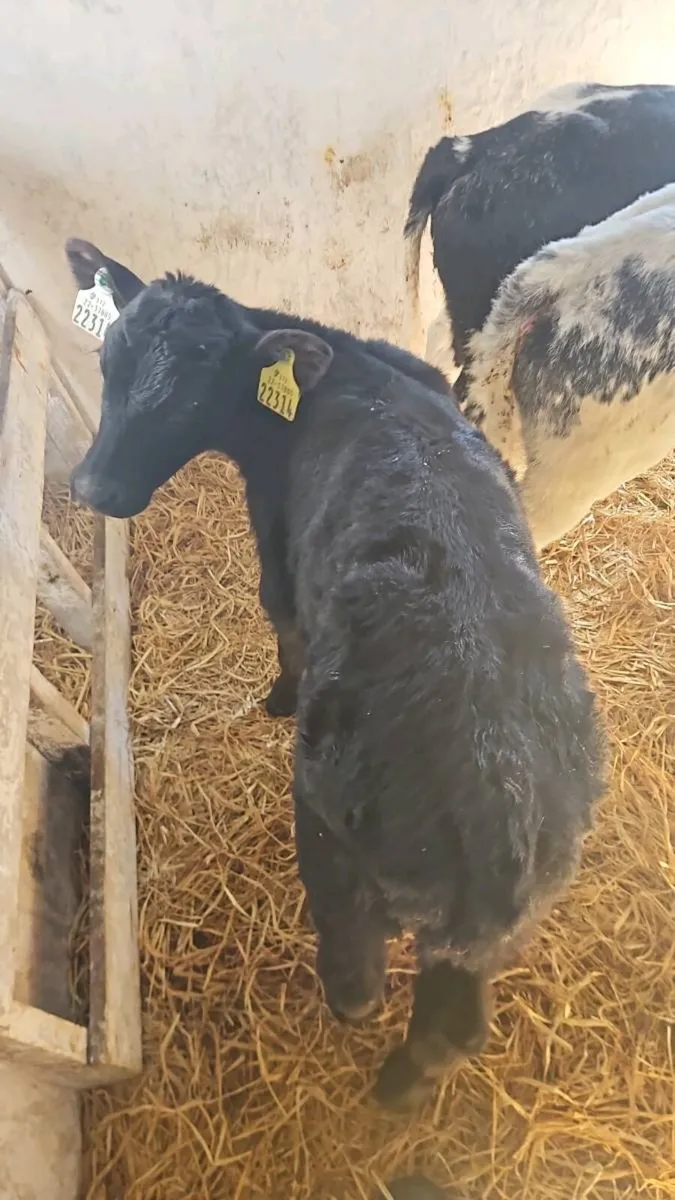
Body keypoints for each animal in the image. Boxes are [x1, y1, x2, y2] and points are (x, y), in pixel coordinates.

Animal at [65, 238, 606, 1111]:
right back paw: (401, 1095)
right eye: (108, 357)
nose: (93, 489)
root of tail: (501, 790)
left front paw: (277, 697)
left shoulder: (278, 553)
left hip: (338, 853)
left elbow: (281, 622)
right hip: (486, 937)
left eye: (198, 393)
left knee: (358, 988)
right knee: (455, 1026)